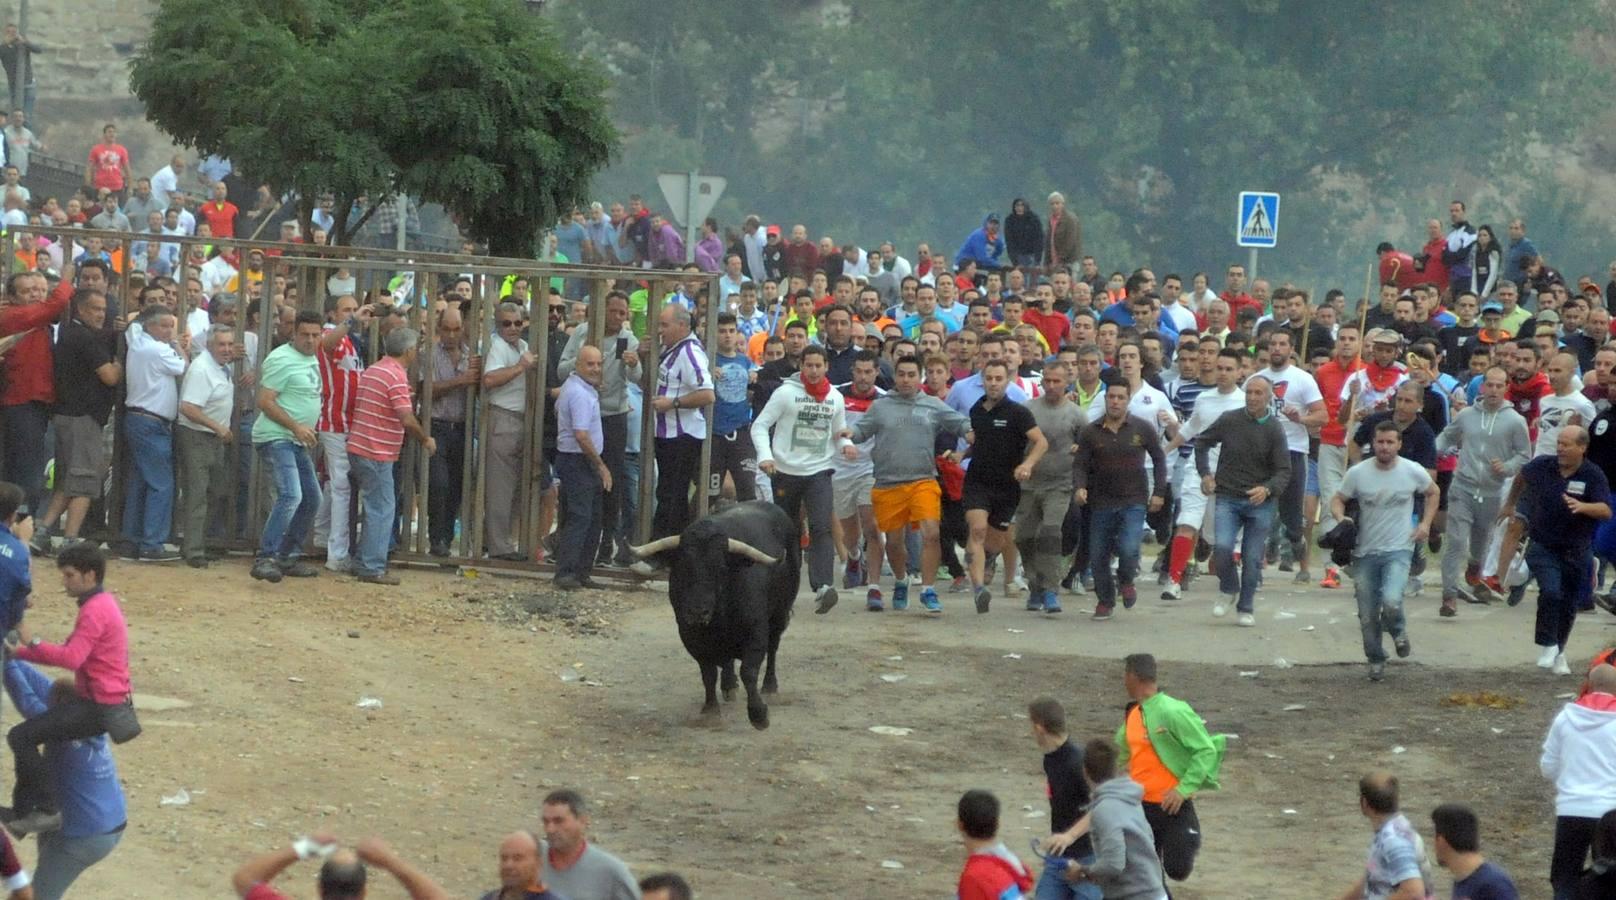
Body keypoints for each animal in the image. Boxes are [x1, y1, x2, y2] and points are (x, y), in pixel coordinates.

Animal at [633, 500, 804, 727]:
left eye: (721, 568)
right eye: (682, 567)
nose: (698, 611)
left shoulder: (757, 632)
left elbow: (749, 671)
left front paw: (759, 714)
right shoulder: (690, 636)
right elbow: (708, 673)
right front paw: (711, 710)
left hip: (779, 613)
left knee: (773, 648)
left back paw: (770, 687)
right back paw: (729, 685)